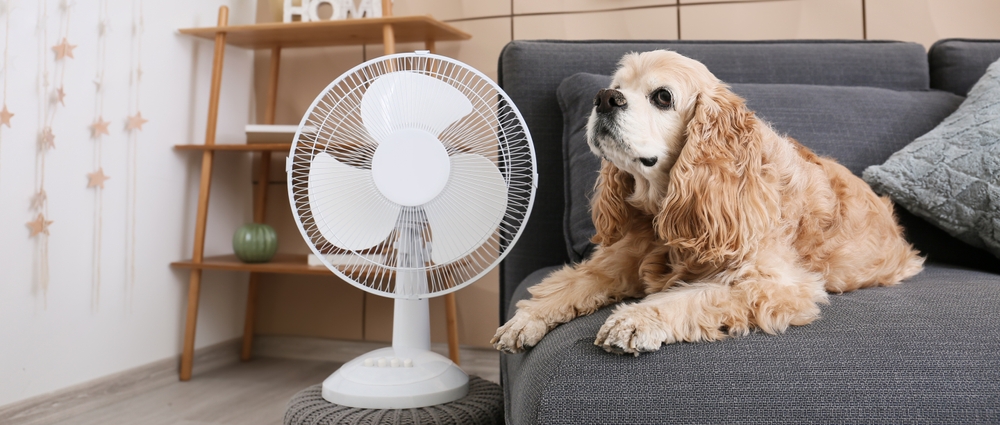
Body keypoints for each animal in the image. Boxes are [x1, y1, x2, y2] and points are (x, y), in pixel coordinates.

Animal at [490, 49, 920, 354]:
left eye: (662, 97)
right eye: (617, 85)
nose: (604, 97)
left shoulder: (774, 285)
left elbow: (695, 295)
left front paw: (636, 319)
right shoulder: (620, 257)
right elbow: (571, 283)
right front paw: (526, 320)